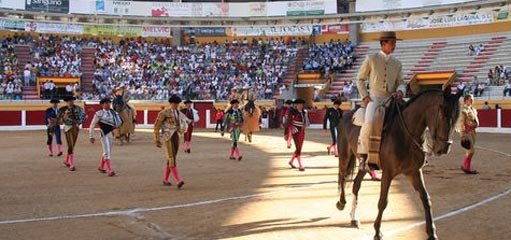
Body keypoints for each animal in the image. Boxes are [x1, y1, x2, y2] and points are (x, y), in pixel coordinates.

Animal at [336, 88, 464, 240]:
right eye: (443, 113)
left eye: (457, 117)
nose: (443, 148)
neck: (406, 133)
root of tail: (346, 115)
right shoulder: (388, 173)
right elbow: (383, 202)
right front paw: (377, 232)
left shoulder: (414, 172)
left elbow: (426, 199)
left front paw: (432, 233)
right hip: (344, 155)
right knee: (342, 176)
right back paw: (341, 203)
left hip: (364, 165)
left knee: (356, 185)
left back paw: (354, 218)